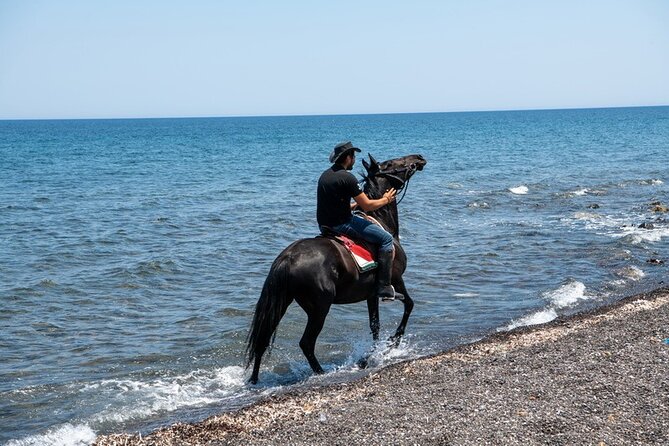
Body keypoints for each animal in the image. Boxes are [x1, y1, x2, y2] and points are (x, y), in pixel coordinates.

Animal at [246, 153, 427, 384]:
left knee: (263, 339)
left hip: (283, 302)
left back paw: (254, 380)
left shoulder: (371, 294)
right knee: (306, 343)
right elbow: (409, 305)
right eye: (390, 163)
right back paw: (321, 373)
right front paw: (392, 343)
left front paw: (370, 357)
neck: (381, 221)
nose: (419, 158)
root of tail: (288, 258)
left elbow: (375, 326)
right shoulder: (395, 280)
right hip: (320, 307)